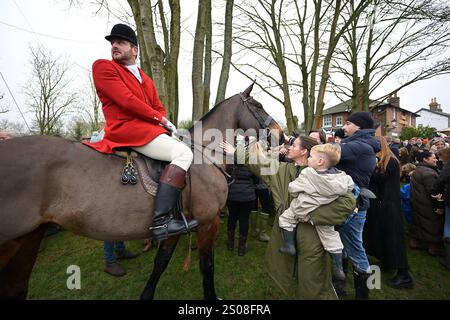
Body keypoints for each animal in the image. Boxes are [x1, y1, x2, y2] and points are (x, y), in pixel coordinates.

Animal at [0, 83, 282, 300]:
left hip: (29, 238)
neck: (205, 154)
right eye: (258, 106)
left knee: (16, 287)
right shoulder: (207, 222)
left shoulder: (176, 225)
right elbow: (207, 266)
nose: (280, 134)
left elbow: (161, 262)